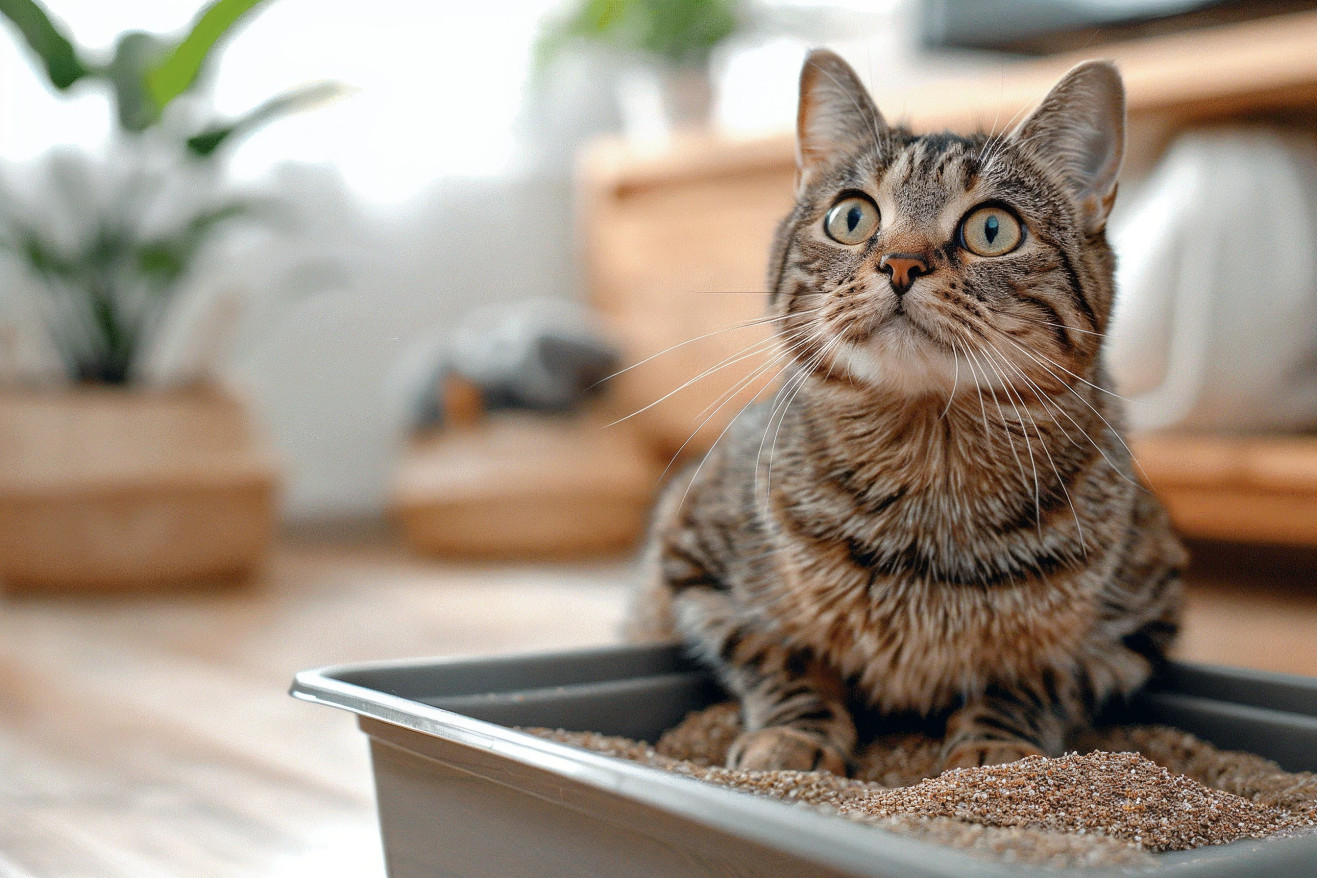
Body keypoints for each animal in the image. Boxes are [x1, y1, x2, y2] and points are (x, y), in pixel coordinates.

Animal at [626, 51, 1185, 774]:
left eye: (992, 228)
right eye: (851, 218)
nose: (900, 263)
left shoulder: (1140, 623)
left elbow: (1035, 674)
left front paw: (997, 751)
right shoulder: (692, 565)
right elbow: (781, 655)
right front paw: (795, 736)